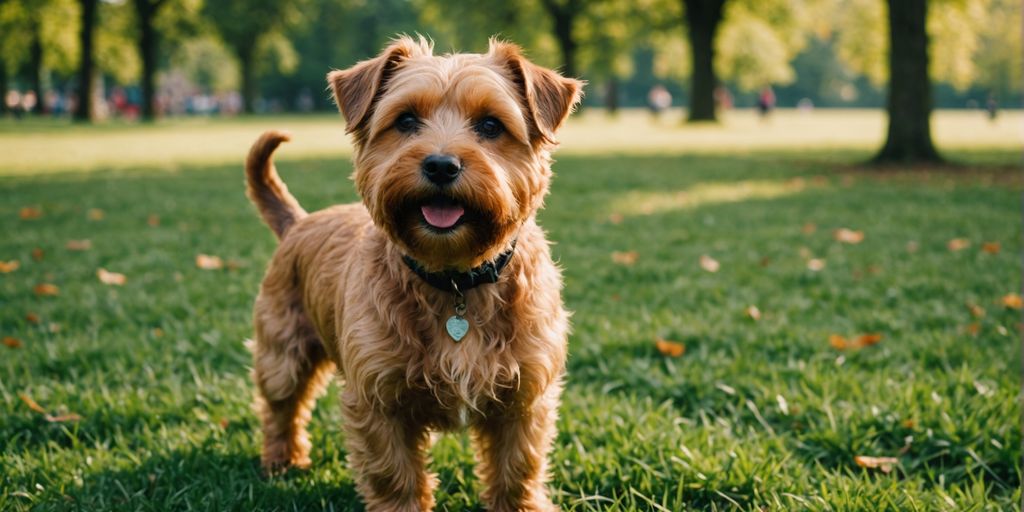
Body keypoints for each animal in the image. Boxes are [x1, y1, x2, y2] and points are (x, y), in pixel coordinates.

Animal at [245, 37, 585, 512]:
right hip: (283, 351)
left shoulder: (524, 397)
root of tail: (299, 221)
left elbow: (517, 470)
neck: (456, 279)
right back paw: (282, 459)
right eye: (405, 120)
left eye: (491, 125)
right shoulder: (378, 400)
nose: (441, 165)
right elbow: (395, 477)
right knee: (281, 408)